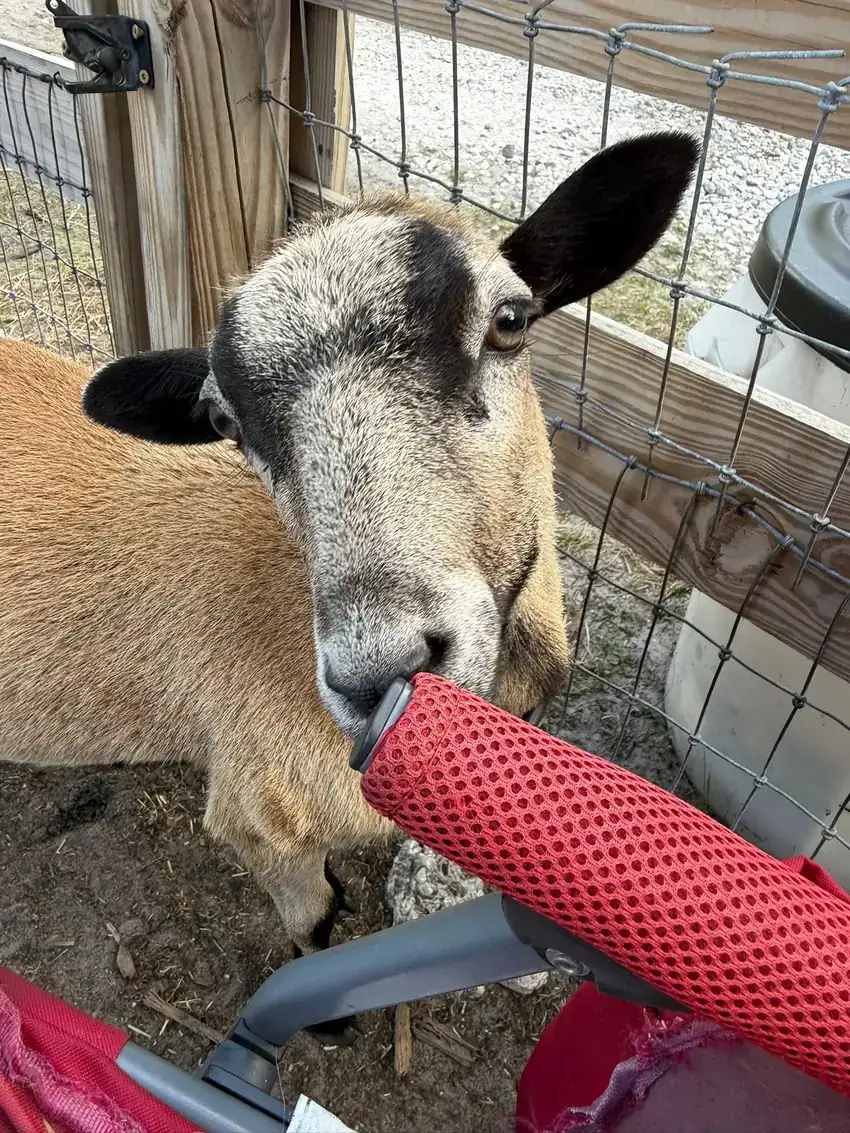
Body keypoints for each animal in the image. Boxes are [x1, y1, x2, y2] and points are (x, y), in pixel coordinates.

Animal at [0, 133, 697, 999]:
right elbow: (315, 923)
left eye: (509, 321)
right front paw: (329, 1011)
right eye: (223, 421)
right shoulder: (260, 814)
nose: (380, 672)